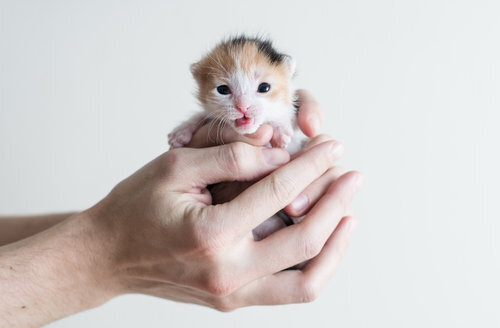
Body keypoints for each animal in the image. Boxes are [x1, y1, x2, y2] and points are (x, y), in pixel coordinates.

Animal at [168, 35, 302, 153]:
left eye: (264, 87)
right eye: (223, 90)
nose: (243, 107)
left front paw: (280, 127)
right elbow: (203, 115)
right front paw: (182, 130)